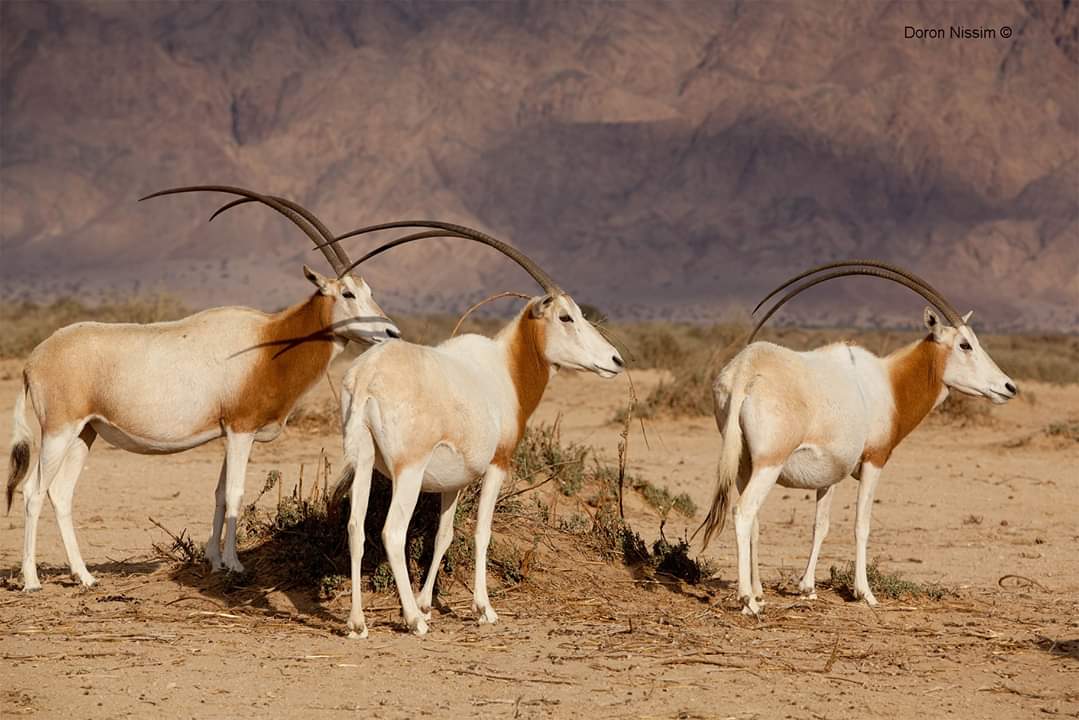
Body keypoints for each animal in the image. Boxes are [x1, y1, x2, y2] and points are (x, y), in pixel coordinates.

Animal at [7, 185, 401, 591]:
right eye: (348, 294)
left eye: (368, 290)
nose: (391, 332)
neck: (271, 343)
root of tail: (33, 359)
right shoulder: (241, 431)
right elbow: (235, 494)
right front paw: (234, 564)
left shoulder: (230, 432)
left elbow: (218, 495)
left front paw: (213, 561)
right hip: (59, 431)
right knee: (33, 492)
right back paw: (31, 579)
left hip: (86, 432)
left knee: (60, 493)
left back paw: (84, 576)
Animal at [323, 220, 625, 634]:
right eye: (566, 317)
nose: (615, 360)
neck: (507, 367)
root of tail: (368, 373)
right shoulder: (499, 464)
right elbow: (482, 532)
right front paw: (482, 608)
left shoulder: (454, 481)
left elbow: (444, 535)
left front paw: (427, 602)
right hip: (408, 470)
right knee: (392, 531)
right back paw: (413, 621)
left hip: (364, 461)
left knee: (355, 527)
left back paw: (358, 623)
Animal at [699, 262, 1018, 617]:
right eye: (965, 344)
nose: (1008, 387)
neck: (890, 383)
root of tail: (745, 369)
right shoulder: (874, 461)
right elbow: (861, 525)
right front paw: (864, 593)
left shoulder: (829, 475)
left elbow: (820, 524)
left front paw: (807, 588)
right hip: (770, 462)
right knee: (744, 512)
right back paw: (748, 601)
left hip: (745, 463)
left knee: (753, 518)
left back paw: (758, 592)